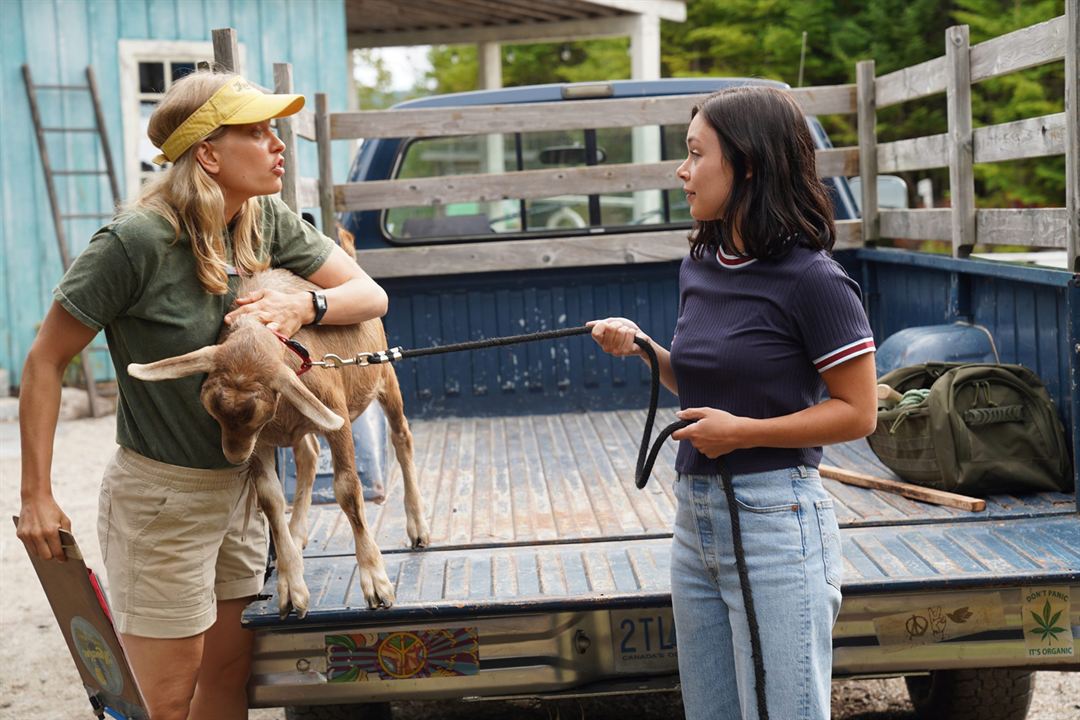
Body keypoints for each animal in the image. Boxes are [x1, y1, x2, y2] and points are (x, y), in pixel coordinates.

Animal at [126, 234, 425, 617]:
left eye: (256, 412)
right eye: (212, 411)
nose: (234, 456)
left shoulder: (333, 417)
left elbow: (347, 489)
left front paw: (375, 582)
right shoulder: (263, 441)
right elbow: (269, 498)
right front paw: (290, 588)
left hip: (383, 372)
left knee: (402, 435)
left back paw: (417, 527)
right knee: (308, 455)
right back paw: (296, 534)